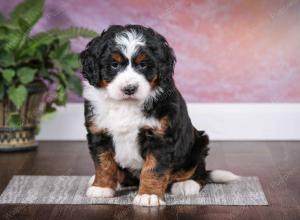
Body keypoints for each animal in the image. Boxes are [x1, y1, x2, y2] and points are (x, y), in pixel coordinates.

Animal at [79, 24, 239, 206]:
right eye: (114, 64)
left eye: (143, 65)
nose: (129, 88)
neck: (126, 105)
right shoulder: (98, 132)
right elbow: (104, 163)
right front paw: (102, 187)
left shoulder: (160, 137)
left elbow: (153, 169)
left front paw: (149, 195)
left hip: (199, 144)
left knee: (199, 172)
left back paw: (186, 184)